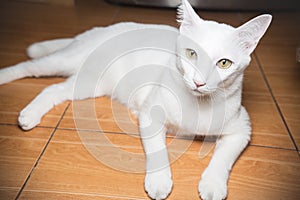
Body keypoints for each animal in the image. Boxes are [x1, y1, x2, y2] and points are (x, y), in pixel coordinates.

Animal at [0, 0, 272, 200]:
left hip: (88, 84)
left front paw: (213, 185)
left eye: (224, 63)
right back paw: (7, 80)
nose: (199, 82)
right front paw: (159, 181)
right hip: (63, 63)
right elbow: (158, 151)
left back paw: (30, 115)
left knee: (53, 90)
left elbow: (223, 158)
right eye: (191, 53)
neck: (198, 103)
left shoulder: (242, 128)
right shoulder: (150, 115)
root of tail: (104, 28)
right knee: (30, 68)